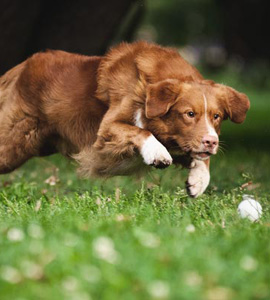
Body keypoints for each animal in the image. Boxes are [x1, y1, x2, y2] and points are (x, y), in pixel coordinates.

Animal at [0, 41, 249, 197]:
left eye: (216, 116)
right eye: (189, 114)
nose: (211, 142)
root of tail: (23, 66)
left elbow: (201, 157)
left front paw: (199, 179)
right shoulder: (107, 128)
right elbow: (139, 131)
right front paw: (156, 152)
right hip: (14, 143)